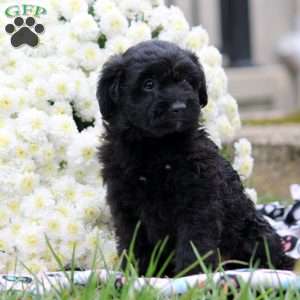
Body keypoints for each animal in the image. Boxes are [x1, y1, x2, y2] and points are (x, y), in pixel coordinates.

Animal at [96, 40, 296, 276]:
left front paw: (192, 273)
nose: (179, 107)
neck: (156, 146)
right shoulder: (125, 205)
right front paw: (137, 273)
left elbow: (194, 239)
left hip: (255, 233)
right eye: (148, 84)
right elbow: (133, 241)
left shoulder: (198, 199)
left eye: (185, 80)